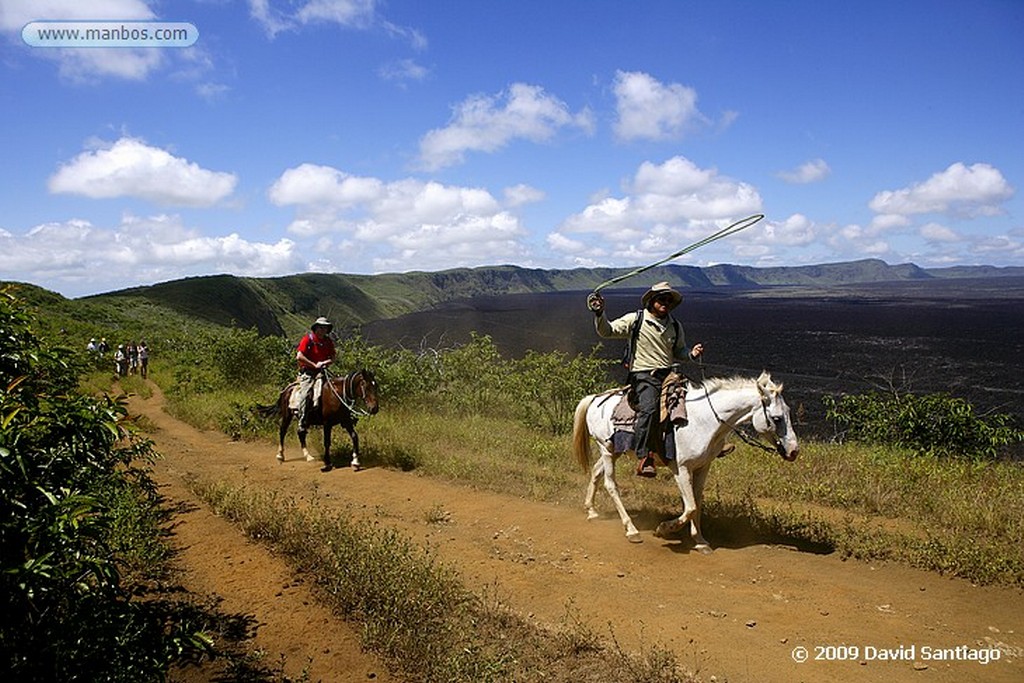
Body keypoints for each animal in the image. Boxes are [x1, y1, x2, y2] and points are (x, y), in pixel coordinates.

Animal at [573, 370, 794, 552]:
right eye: (776, 418)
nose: (793, 451)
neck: (704, 421)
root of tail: (595, 399)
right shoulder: (681, 469)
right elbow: (690, 507)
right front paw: (664, 529)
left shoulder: (703, 466)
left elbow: (697, 501)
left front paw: (700, 541)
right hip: (606, 449)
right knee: (611, 485)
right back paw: (631, 530)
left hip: (613, 451)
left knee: (596, 472)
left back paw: (591, 511)